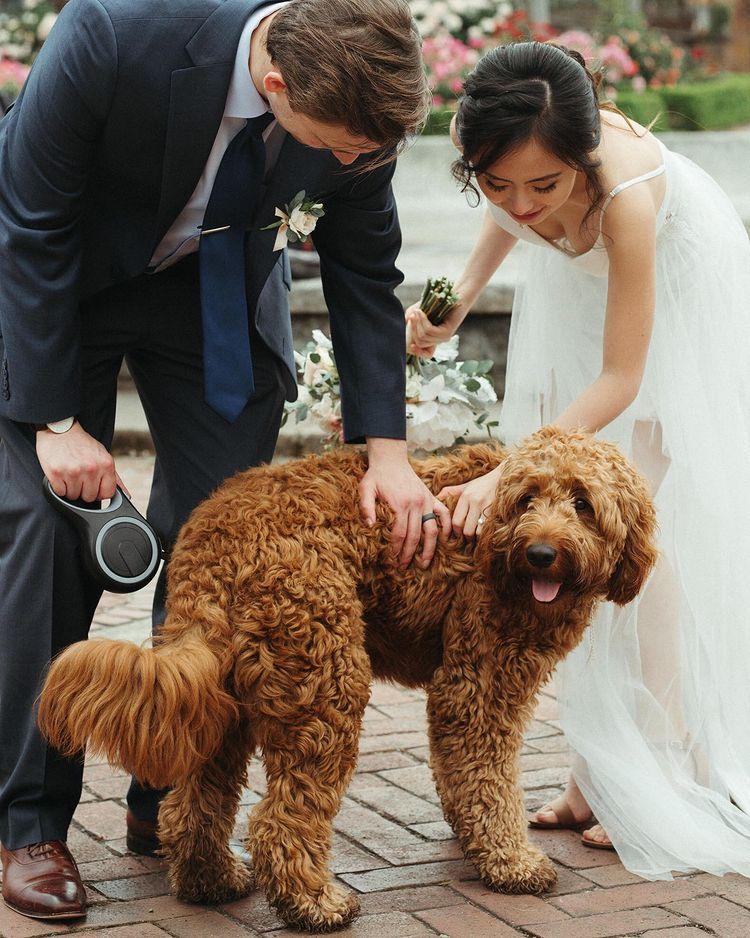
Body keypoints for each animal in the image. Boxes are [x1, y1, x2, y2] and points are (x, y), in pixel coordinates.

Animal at [38, 426, 657, 932]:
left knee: (195, 801)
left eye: (583, 503)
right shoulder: (479, 685)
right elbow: (488, 778)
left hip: (231, 696)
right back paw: (314, 903)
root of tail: (216, 537)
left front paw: (474, 843)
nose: (542, 552)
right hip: (324, 685)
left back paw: (210, 881)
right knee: (280, 820)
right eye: (529, 498)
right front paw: (510, 861)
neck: (492, 539)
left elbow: (459, 776)